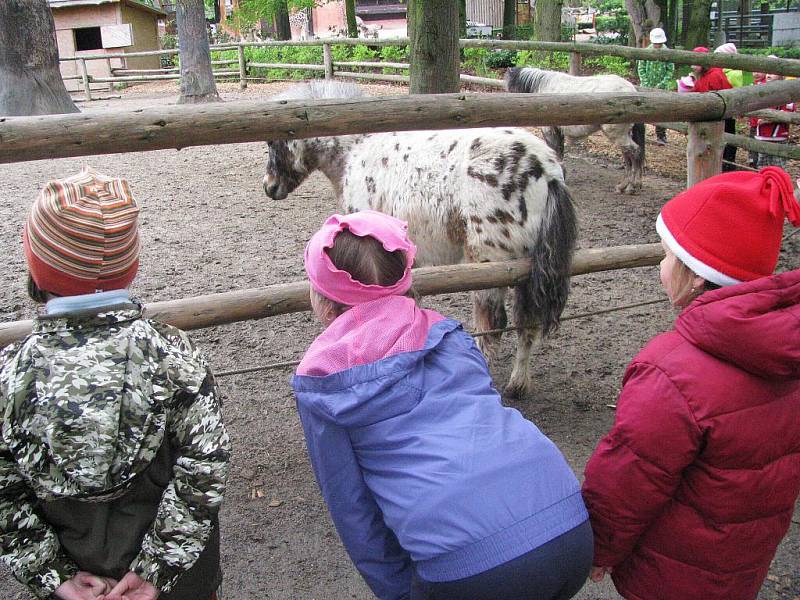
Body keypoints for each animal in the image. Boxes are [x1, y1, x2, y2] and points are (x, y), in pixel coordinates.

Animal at [266, 81, 580, 398]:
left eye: (271, 143)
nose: (269, 187)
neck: (355, 150)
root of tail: (548, 173)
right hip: (524, 268)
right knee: (527, 323)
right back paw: (518, 384)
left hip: (489, 264)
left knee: (494, 324)